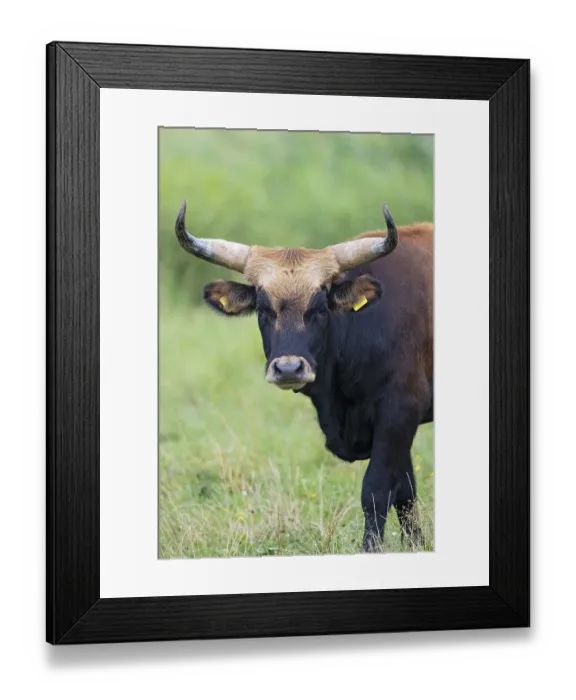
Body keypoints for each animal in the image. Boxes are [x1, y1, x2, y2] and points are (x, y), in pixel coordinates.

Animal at [175, 200, 433, 551]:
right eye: (262, 309)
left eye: (321, 308)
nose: (288, 368)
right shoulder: (394, 422)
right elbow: (405, 491)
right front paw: (416, 545)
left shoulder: (398, 412)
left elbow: (377, 490)